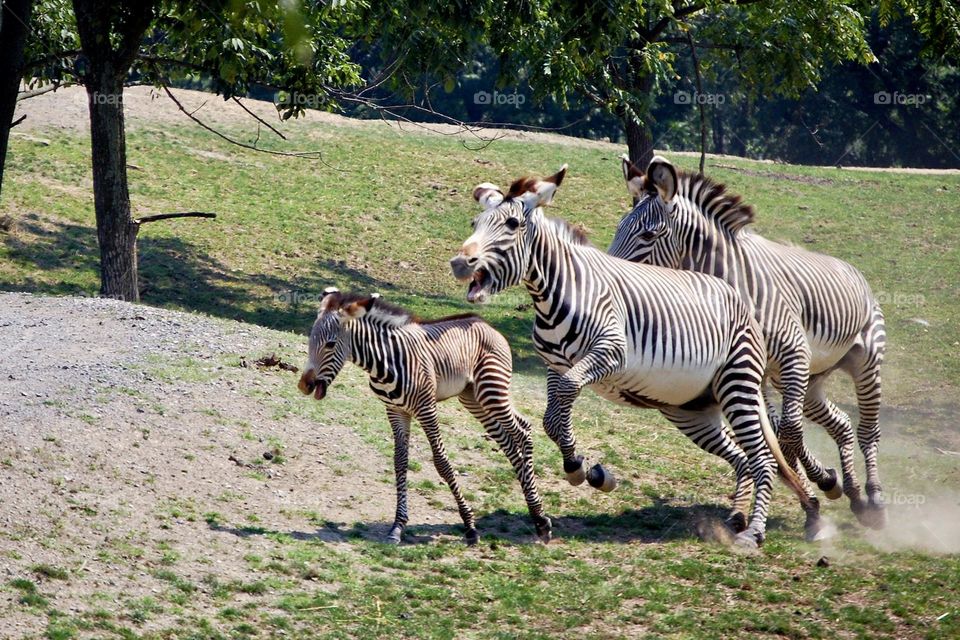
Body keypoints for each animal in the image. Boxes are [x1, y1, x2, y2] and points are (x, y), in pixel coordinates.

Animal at [296, 290, 552, 544]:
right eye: (310, 340)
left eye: (330, 344)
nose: (303, 385)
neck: (384, 362)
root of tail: (486, 324)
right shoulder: (395, 411)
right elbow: (400, 462)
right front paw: (397, 526)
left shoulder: (426, 409)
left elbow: (441, 462)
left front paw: (469, 525)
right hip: (473, 398)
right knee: (509, 440)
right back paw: (535, 512)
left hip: (492, 391)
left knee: (523, 430)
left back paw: (540, 517)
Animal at [450, 168, 816, 548]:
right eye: (475, 222)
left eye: (511, 224)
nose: (460, 263)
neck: (560, 292)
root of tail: (737, 298)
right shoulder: (556, 366)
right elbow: (552, 418)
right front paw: (584, 467)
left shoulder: (611, 352)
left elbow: (565, 395)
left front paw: (578, 466)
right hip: (691, 410)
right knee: (743, 458)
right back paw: (740, 518)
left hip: (737, 384)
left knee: (764, 460)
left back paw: (754, 532)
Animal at [612, 155, 888, 528]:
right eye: (618, 228)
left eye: (648, 234)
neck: (734, 281)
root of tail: (849, 267)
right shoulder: (749, 369)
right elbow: (780, 434)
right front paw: (821, 485)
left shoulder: (793, 353)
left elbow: (788, 433)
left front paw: (815, 484)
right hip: (806, 380)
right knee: (841, 423)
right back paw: (854, 494)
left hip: (863, 361)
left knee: (867, 430)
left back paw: (874, 500)